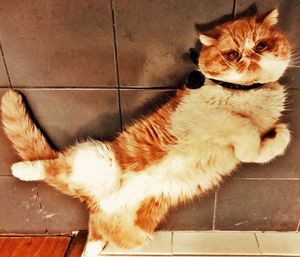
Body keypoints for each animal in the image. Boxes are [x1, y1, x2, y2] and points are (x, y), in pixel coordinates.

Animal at [0, 8, 290, 256]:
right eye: (231, 54)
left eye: (261, 45)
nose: (250, 57)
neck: (246, 94)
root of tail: (95, 201)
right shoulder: (199, 115)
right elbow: (241, 125)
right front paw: (252, 134)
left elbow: (266, 147)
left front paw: (278, 134)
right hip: (98, 158)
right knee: (52, 167)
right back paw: (22, 170)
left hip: (133, 236)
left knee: (95, 236)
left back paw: (90, 249)